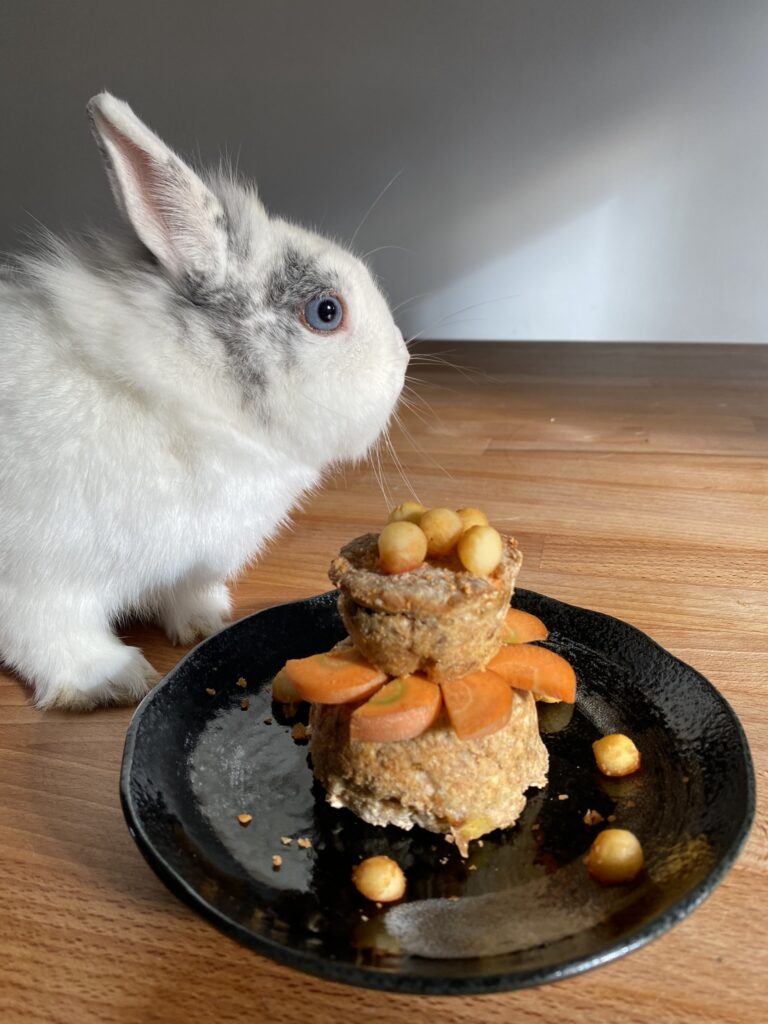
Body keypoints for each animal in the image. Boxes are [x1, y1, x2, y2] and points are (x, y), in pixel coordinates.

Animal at [0, 92, 409, 708]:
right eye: (325, 312)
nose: (403, 363)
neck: (182, 399)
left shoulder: (187, 569)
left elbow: (185, 596)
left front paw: (204, 623)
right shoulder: (41, 580)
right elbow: (51, 635)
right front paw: (112, 681)